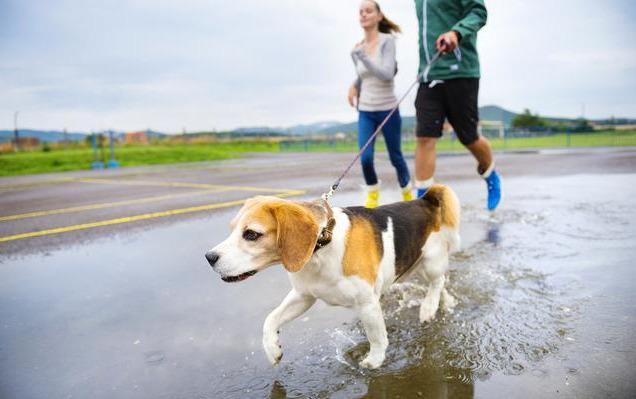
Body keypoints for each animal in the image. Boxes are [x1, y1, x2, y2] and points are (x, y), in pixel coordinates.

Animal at [206, 184, 460, 368]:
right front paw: (272, 349)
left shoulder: (367, 304)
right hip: (412, 268)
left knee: (437, 282)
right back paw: (445, 303)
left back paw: (428, 308)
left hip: (430, 263)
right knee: (440, 285)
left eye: (251, 234)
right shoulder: (303, 296)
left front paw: (374, 361)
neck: (322, 245)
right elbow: (271, 319)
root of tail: (424, 200)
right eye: (232, 229)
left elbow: (377, 337)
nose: (209, 257)